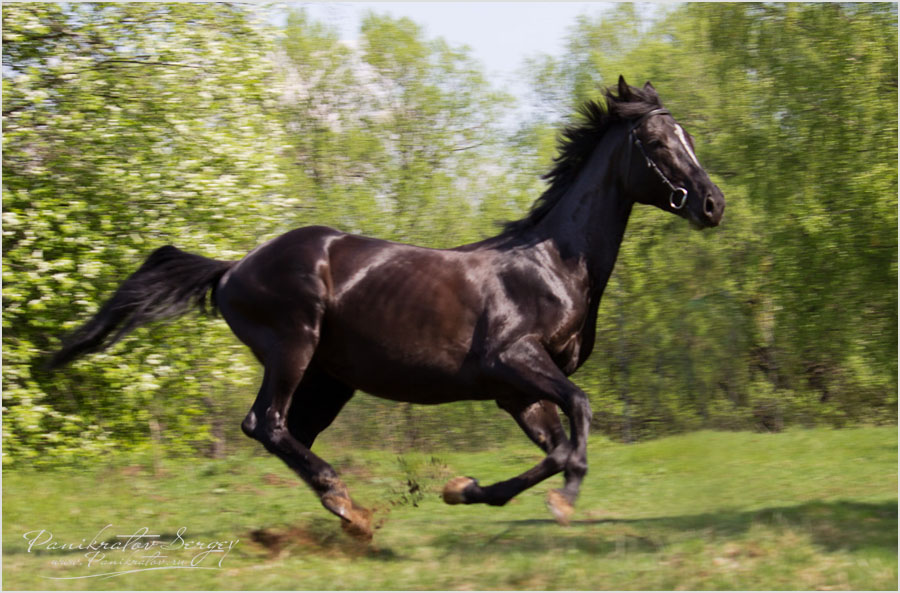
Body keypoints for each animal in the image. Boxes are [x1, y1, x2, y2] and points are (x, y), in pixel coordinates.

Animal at [49, 77, 724, 536]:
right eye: (658, 141)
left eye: (688, 135)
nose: (713, 205)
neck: (552, 266)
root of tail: (233, 267)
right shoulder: (514, 361)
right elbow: (581, 414)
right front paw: (563, 501)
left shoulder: (518, 393)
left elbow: (555, 448)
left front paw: (464, 490)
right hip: (291, 349)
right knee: (264, 423)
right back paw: (346, 503)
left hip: (329, 377)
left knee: (289, 432)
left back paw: (343, 514)